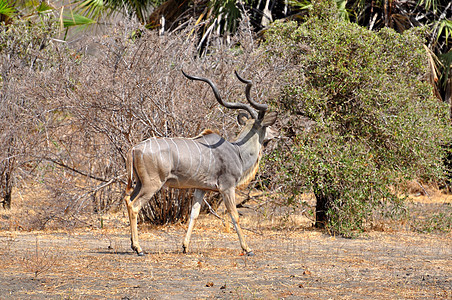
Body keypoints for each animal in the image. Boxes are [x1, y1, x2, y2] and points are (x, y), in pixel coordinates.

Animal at [123, 70, 278, 255]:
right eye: (267, 126)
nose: (277, 133)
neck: (237, 151)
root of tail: (134, 149)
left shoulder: (201, 188)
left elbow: (194, 214)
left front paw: (185, 246)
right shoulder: (227, 187)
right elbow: (234, 215)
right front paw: (247, 249)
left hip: (140, 183)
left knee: (127, 200)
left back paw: (133, 244)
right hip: (152, 184)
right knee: (134, 206)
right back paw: (138, 248)